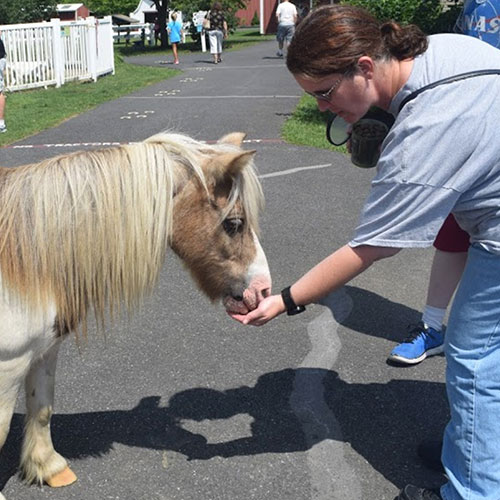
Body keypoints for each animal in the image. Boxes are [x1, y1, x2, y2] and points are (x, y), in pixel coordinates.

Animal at [0, 132, 270, 496]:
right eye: (234, 223)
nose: (263, 290)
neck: (24, 255)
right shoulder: (9, 365)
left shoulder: (43, 350)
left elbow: (42, 407)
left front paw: (48, 466)